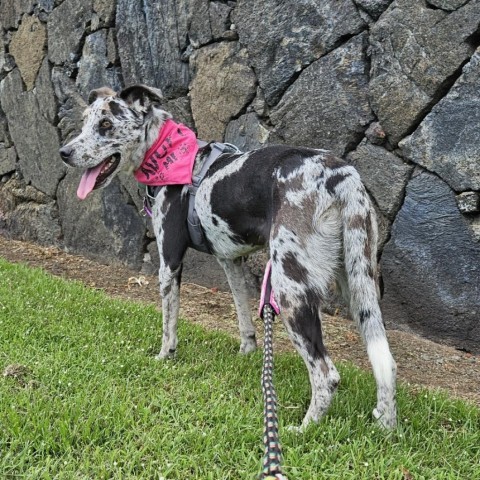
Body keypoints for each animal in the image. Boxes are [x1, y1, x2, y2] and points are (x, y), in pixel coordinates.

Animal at [60, 84, 398, 430]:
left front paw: (164, 357)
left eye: (105, 124)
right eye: (85, 121)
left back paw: (303, 428)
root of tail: (341, 177)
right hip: (360, 288)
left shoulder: (169, 262)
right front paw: (246, 353)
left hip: (290, 290)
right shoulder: (230, 261)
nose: (64, 152)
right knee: (386, 363)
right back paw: (385, 425)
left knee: (326, 374)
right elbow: (242, 313)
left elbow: (169, 325)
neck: (166, 150)